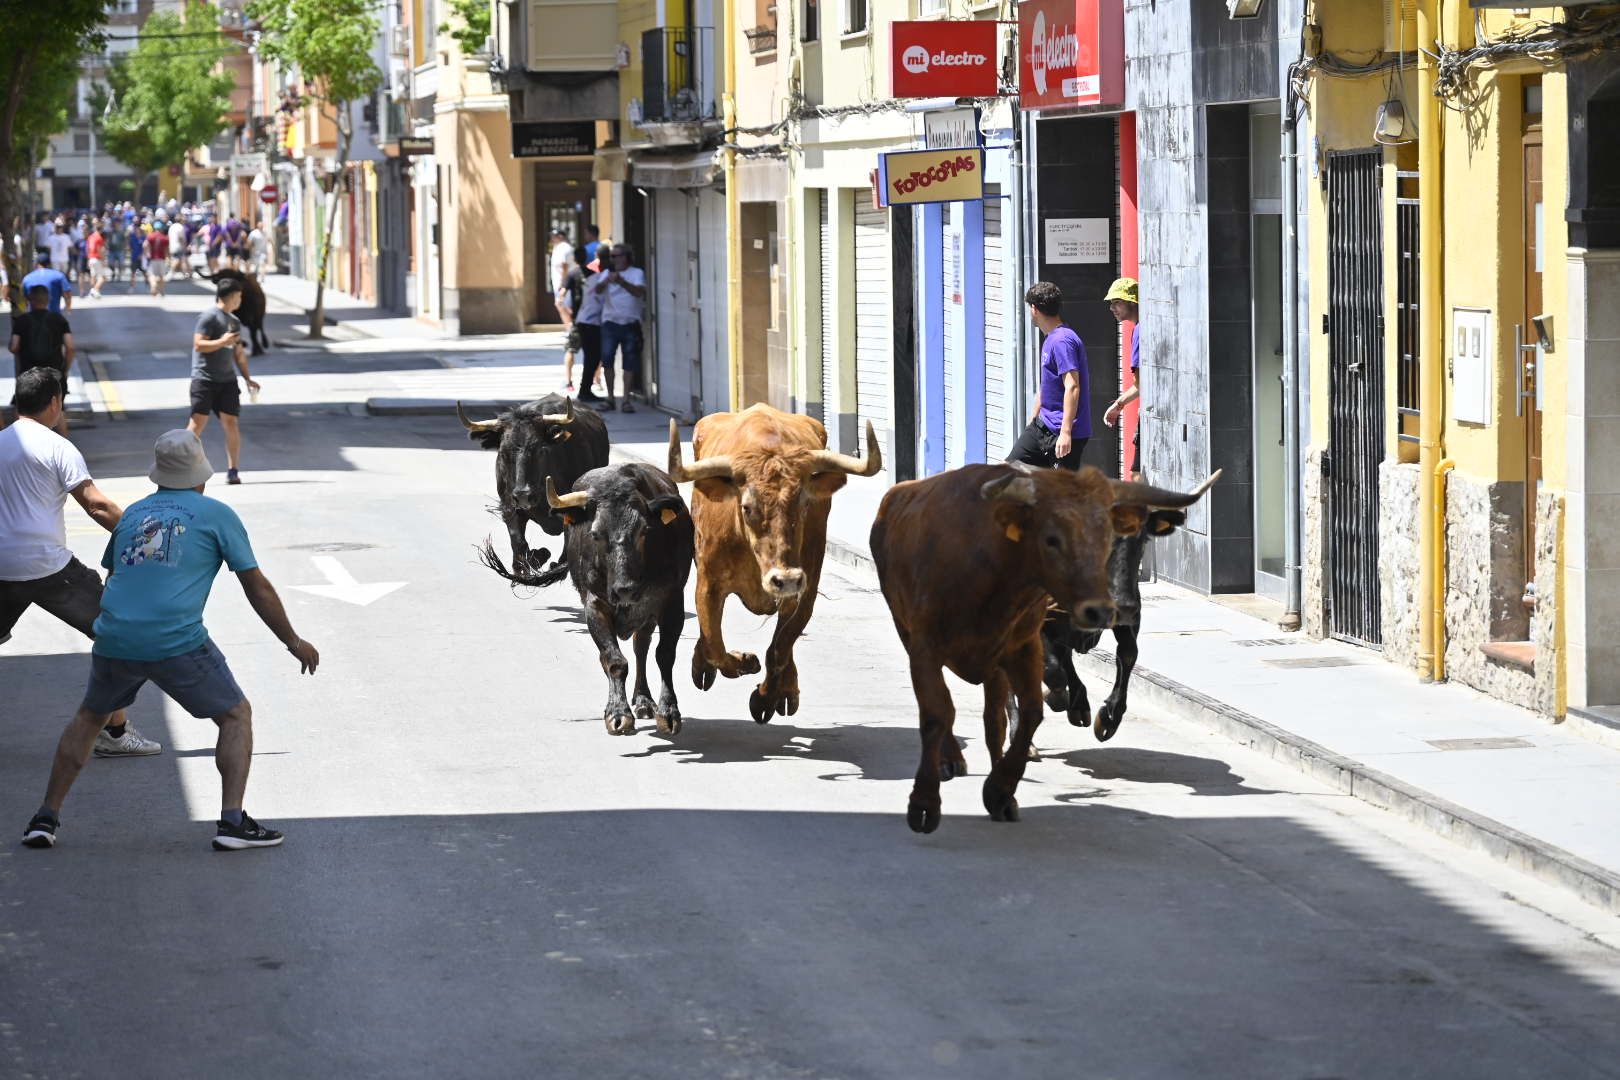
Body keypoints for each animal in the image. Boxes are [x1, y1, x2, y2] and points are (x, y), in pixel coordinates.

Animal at [463, 393, 612, 586]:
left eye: (541, 450)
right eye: (503, 452)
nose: (523, 495)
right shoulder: (509, 507)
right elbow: (518, 541)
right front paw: (532, 561)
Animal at [664, 404, 881, 725]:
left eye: (804, 504)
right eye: (747, 507)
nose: (785, 578)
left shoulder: (805, 590)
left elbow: (780, 648)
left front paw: (766, 697)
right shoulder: (707, 584)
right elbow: (715, 644)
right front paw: (740, 662)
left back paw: (786, 690)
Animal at [1043, 508, 1185, 744]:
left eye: (1144, 539)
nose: (1122, 605)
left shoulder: (1132, 612)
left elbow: (1128, 653)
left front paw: (1110, 715)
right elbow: (1054, 669)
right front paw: (1060, 697)